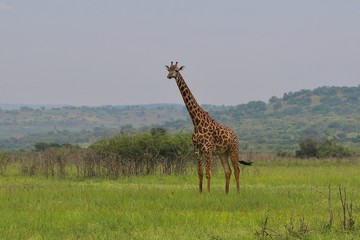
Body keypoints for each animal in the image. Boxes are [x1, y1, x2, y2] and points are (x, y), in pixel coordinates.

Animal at [165, 62, 252, 193]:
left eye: (177, 70)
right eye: (169, 69)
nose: (169, 76)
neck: (196, 122)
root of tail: (234, 134)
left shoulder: (208, 149)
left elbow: (208, 173)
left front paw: (208, 192)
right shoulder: (197, 150)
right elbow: (200, 173)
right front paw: (200, 192)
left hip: (233, 150)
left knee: (237, 170)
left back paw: (237, 192)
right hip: (223, 153)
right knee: (228, 171)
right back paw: (226, 193)